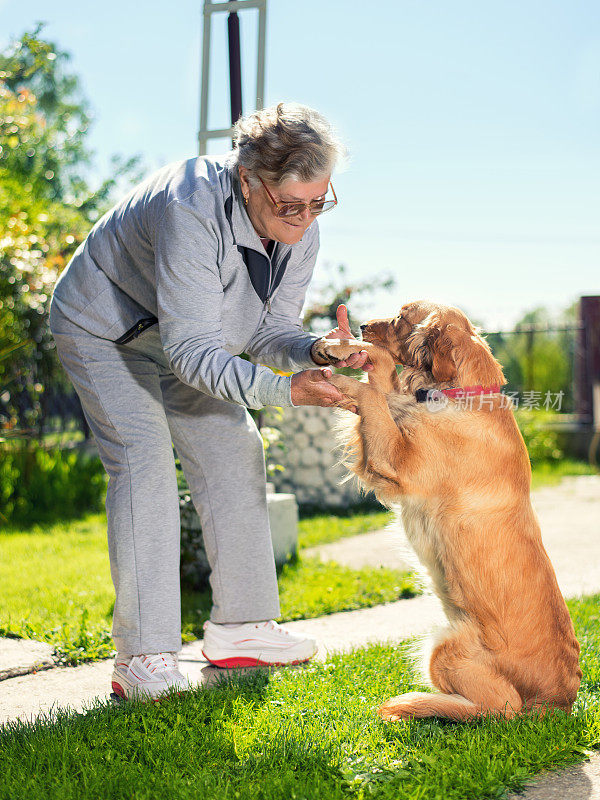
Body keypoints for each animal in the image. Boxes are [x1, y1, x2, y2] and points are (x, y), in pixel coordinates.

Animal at [314, 302, 580, 724]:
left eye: (402, 317)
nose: (362, 324)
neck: (461, 394)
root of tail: (559, 702)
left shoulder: (399, 461)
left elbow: (372, 393)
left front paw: (344, 374)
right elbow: (381, 375)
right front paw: (341, 348)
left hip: (447, 649)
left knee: (495, 710)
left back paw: (412, 704)